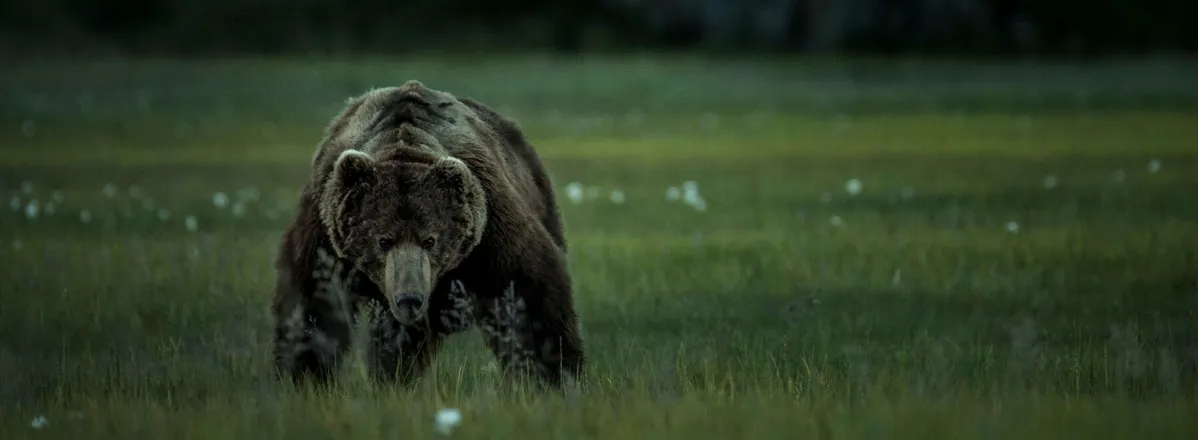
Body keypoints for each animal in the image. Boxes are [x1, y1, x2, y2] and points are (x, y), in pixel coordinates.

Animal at [270, 80, 583, 390]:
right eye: (383, 240)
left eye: (430, 240)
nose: (410, 299)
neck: (404, 145)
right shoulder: (324, 232)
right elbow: (314, 305)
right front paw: (304, 376)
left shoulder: (491, 231)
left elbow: (528, 298)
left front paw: (553, 375)